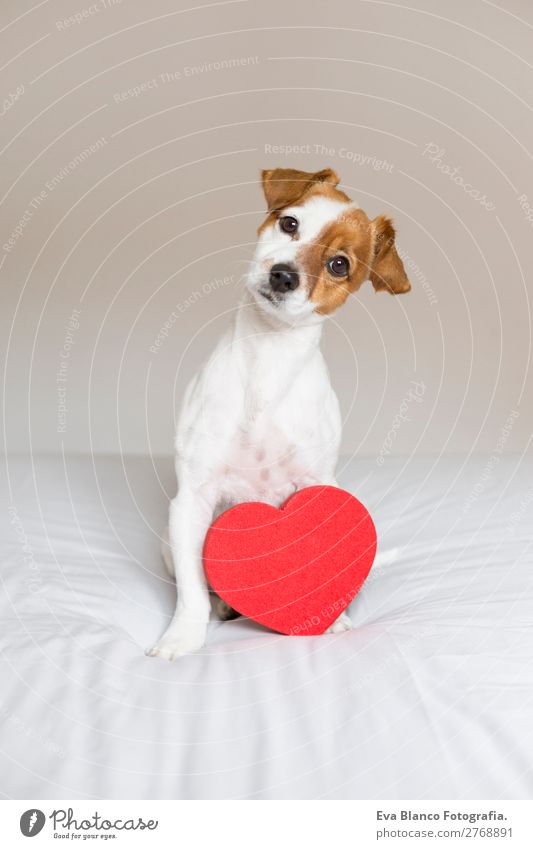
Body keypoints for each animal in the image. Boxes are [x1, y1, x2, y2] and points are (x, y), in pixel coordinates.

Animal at [148, 164, 410, 656]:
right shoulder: (192, 500)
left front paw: (327, 617)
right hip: (169, 544)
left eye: (339, 264)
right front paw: (182, 637)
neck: (269, 356)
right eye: (289, 224)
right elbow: (192, 590)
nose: (284, 275)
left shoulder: (317, 492)